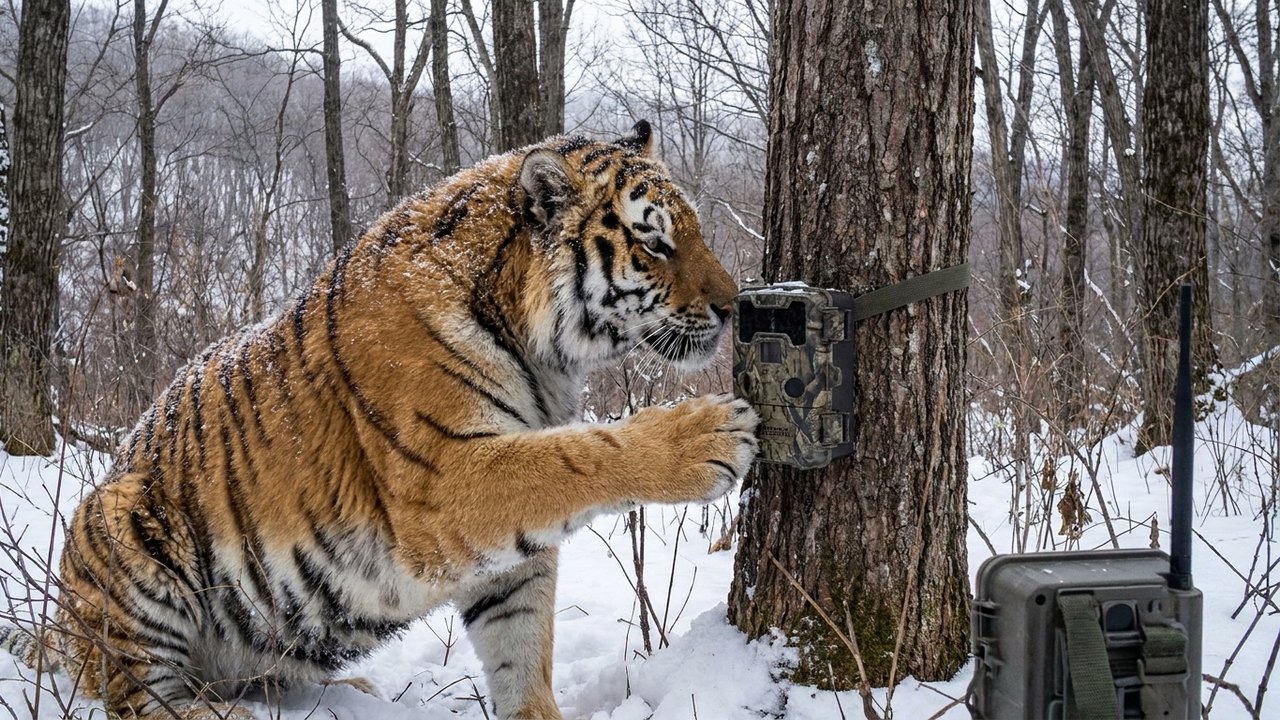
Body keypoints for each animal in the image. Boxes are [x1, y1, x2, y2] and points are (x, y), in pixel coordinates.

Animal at [0, 120, 759, 719]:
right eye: (656, 245)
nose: (733, 306)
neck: (541, 347)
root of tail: (60, 628)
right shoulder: (442, 483)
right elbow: (577, 455)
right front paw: (706, 435)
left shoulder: (502, 559)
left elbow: (520, 645)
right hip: (119, 522)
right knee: (132, 697)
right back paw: (216, 714)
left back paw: (346, 691)